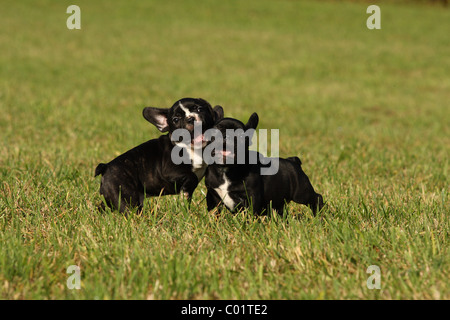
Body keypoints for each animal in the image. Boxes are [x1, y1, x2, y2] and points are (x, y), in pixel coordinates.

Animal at [94, 97, 224, 212]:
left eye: (199, 109)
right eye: (176, 119)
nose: (190, 118)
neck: (191, 148)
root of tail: (105, 167)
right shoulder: (170, 171)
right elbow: (191, 176)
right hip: (125, 197)